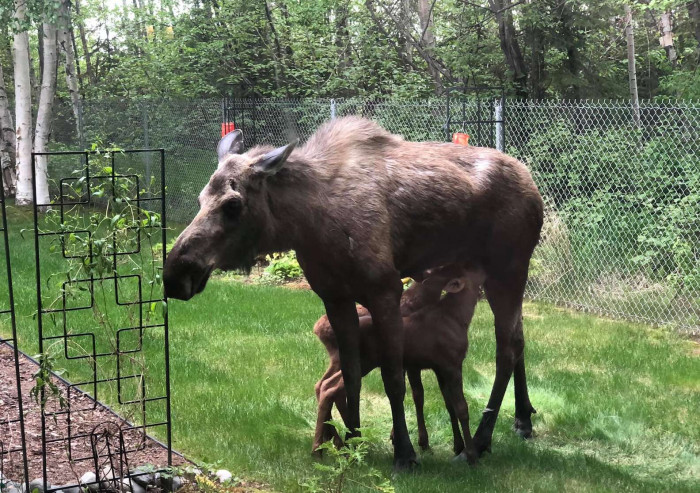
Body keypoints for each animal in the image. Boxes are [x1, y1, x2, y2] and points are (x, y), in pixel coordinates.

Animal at [312, 264, 485, 464]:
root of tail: (316, 329)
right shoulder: (446, 363)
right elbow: (453, 405)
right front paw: (468, 454)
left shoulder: (435, 366)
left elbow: (446, 402)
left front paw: (457, 446)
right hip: (362, 361)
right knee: (331, 387)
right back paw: (325, 447)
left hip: (346, 361)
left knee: (325, 385)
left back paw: (335, 442)